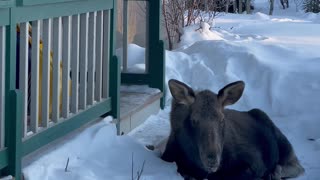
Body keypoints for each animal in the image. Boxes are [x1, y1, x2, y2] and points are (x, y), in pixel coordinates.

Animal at [162, 79, 304, 179]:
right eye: (194, 120)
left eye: (222, 119)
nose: (212, 159)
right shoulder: (168, 157)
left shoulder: (256, 163)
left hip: (282, 142)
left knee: (298, 166)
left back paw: (275, 173)